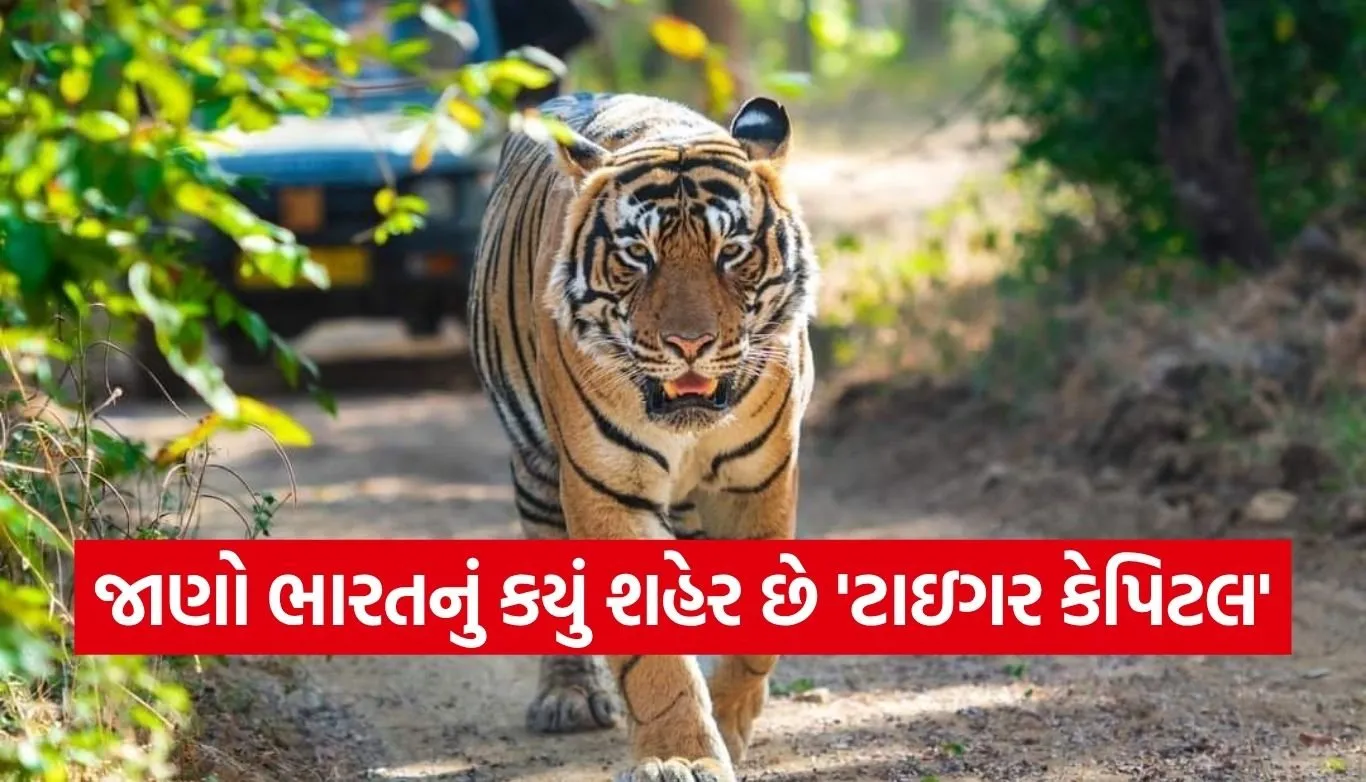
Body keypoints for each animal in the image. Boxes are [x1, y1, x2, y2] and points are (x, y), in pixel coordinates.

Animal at [467, 91, 819, 782]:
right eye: (638, 255)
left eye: (731, 251)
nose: (690, 343)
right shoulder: (607, 489)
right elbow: (653, 655)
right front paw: (681, 754)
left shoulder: (758, 482)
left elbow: (756, 632)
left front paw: (728, 728)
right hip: (537, 469)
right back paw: (569, 698)